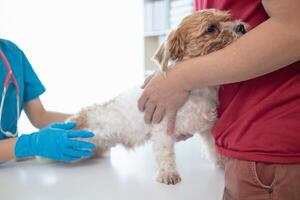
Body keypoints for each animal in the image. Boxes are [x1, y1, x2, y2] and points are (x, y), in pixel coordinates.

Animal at [69, 9, 247, 184]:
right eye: (210, 29)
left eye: (227, 19)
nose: (241, 27)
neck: (198, 91)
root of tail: (79, 117)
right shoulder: (163, 128)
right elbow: (166, 153)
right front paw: (168, 173)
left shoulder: (207, 127)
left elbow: (212, 146)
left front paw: (221, 163)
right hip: (87, 138)